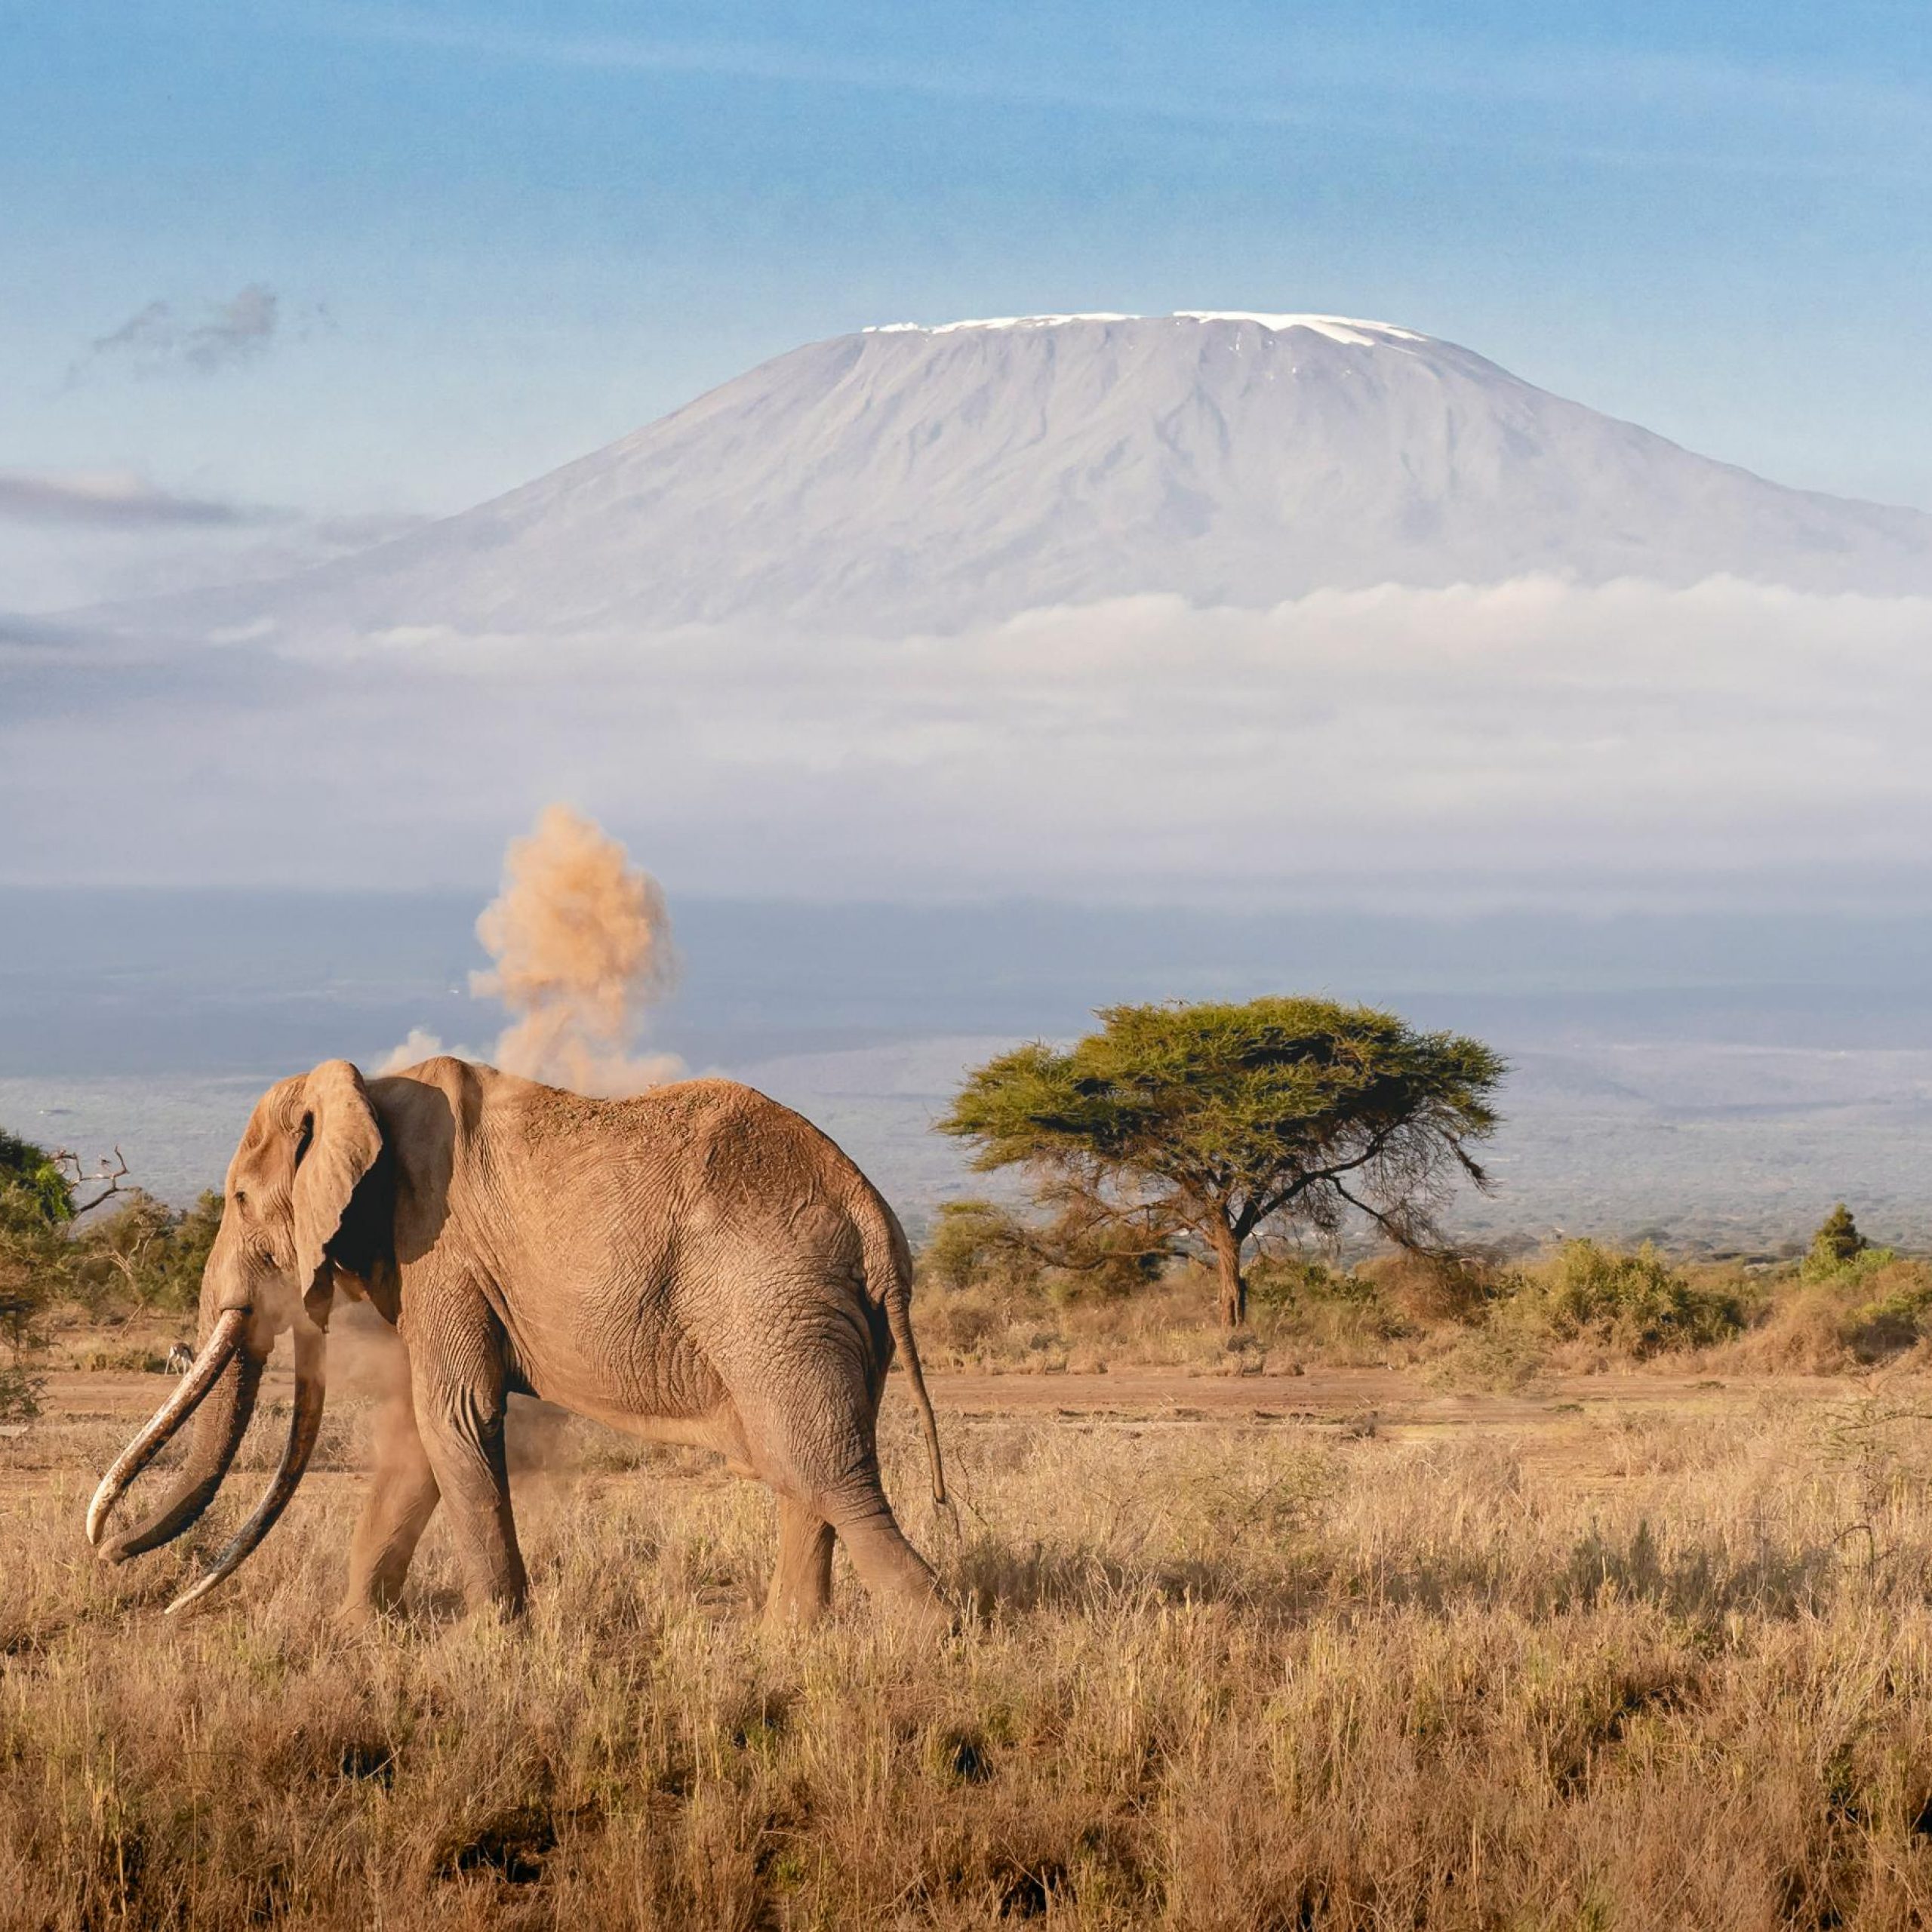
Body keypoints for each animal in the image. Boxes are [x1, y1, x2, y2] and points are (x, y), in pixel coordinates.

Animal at [91, 1058, 950, 1630]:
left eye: (239, 1199)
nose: (110, 1556)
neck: (366, 1090)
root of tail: (872, 1216)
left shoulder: (442, 1251)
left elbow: (453, 1417)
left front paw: (496, 1642)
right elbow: (422, 1436)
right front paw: (357, 1634)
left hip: (775, 1306)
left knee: (827, 1475)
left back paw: (930, 1637)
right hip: (818, 1318)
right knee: (802, 1473)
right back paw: (787, 1646)